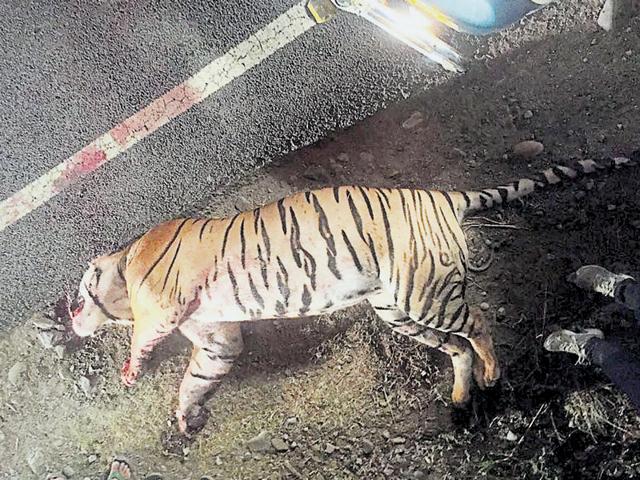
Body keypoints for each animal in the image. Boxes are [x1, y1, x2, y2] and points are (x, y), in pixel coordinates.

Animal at [67, 153, 636, 436]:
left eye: (78, 296)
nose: (69, 317)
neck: (126, 260)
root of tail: (440, 196)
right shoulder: (214, 337)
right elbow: (199, 377)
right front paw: (187, 418)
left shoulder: (162, 305)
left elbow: (144, 335)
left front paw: (131, 369)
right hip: (396, 307)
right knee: (456, 347)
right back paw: (459, 397)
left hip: (423, 294)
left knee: (476, 321)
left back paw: (493, 373)